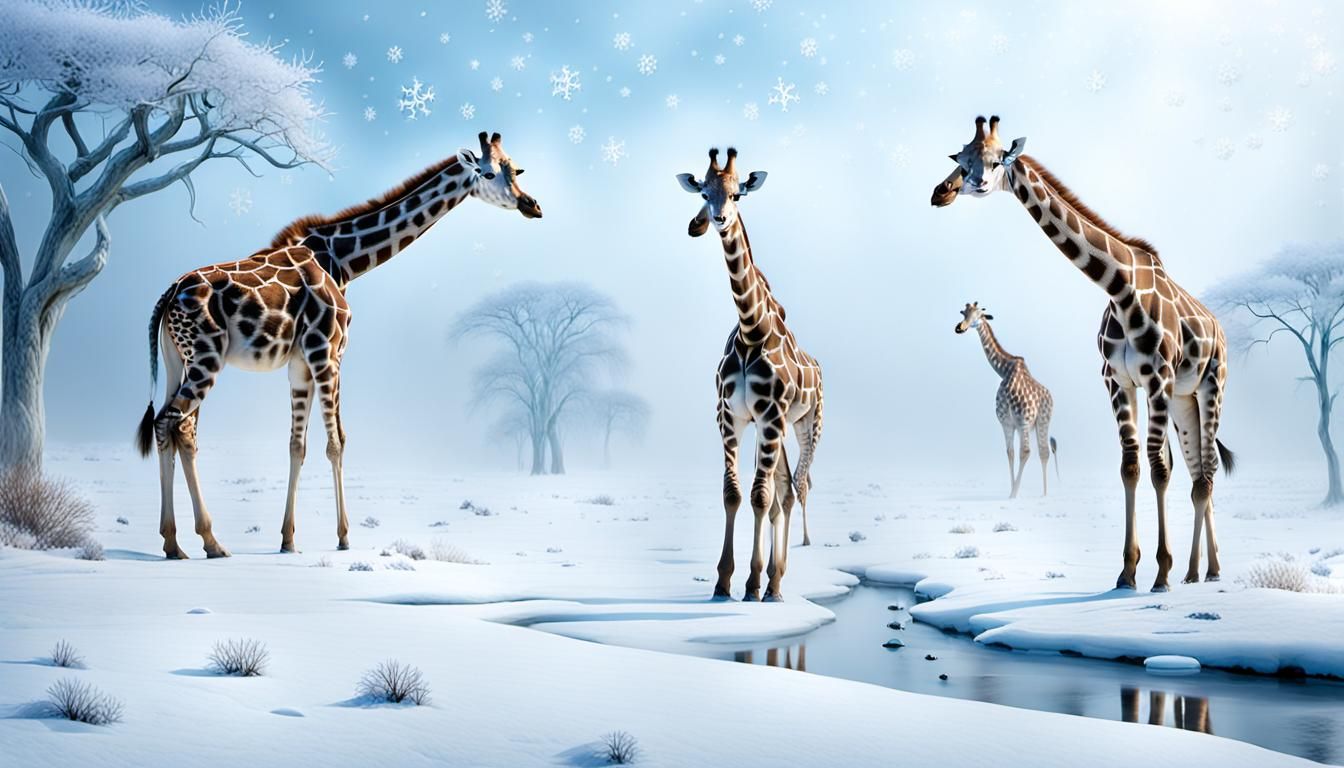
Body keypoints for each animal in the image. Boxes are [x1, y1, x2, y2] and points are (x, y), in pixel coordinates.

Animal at [134, 132, 541, 559]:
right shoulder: (327, 352)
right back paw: (208, 541)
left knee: (173, 429)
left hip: (178, 360)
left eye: (516, 169)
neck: (342, 259)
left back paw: (175, 543)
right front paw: (344, 537)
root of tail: (169, 294)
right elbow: (337, 441)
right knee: (176, 425)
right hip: (206, 359)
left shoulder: (300, 362)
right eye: (488, 173)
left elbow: (297, 444)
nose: (532, 205)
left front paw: (289, 540)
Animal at [676, 147, 824, 602]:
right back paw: (774, 577)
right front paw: (724, 582)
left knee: (793, 489)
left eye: (737, 194)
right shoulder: (732, 417)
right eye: (704, 192)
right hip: (768, 429)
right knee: (784, 490)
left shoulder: (771, 417)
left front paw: (755, 582)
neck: (750, 327)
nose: (711, 221)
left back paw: (777, 580)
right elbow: (734, 494)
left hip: (806, 425)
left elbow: (760, 497)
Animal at [954, 302, 1059, 498]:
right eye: (964, 313)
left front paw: (1013, 493)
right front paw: (1011, 490)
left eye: (979, 314)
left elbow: (1021, 452)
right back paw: (1039, 492)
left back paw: (1035, 493)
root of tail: (1050, 397)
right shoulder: (1008, 422)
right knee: (1037, 451)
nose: (960, 327)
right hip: (1031, 424)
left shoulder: (1015, 419)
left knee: (1038, 452)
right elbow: (1009, 452)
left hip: (1039, 420)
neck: (1004, 370)